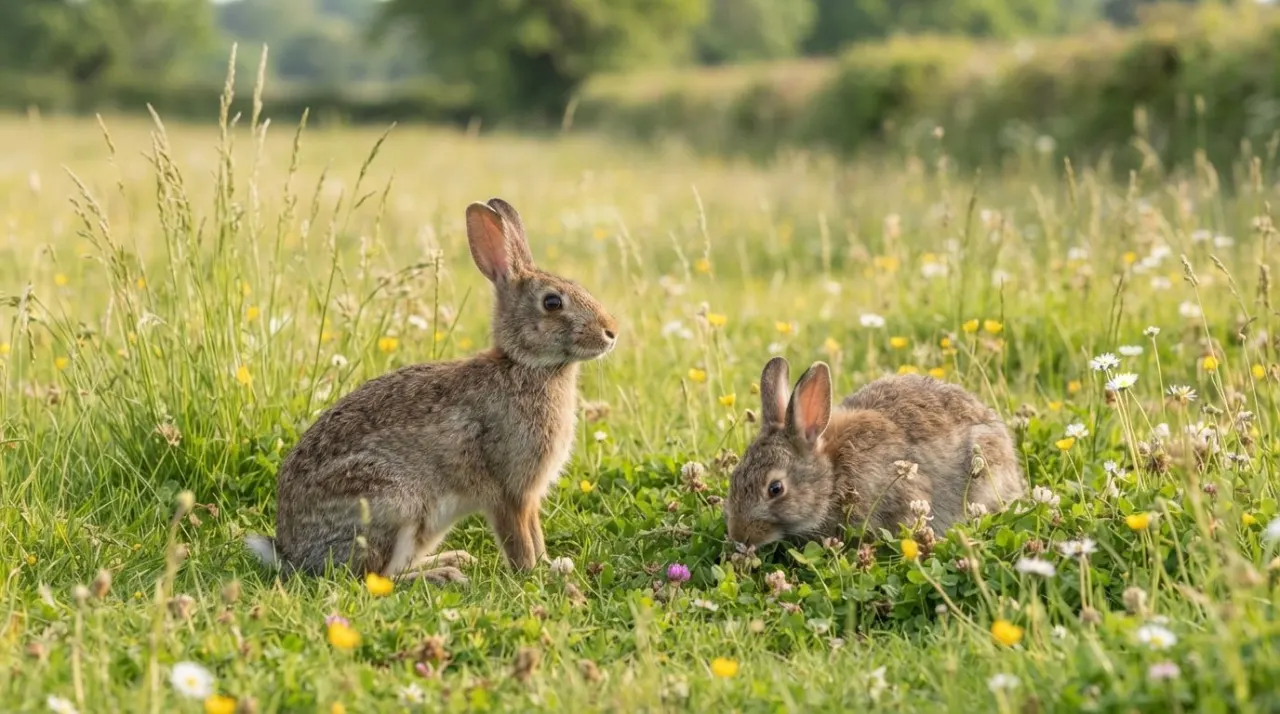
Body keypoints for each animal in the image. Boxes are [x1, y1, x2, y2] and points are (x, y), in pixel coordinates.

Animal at [245, 197, 618, 584]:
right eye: (552, 303)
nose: (611, 331)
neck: (525, 365)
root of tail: (295, 554)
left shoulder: (527, 497)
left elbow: (535, 533)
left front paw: (550, 565)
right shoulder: (509, 491)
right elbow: (520, 539)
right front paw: (534, 574)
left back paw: (455, 559)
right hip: (394, 503)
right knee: (374, 578)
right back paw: (446, 574)